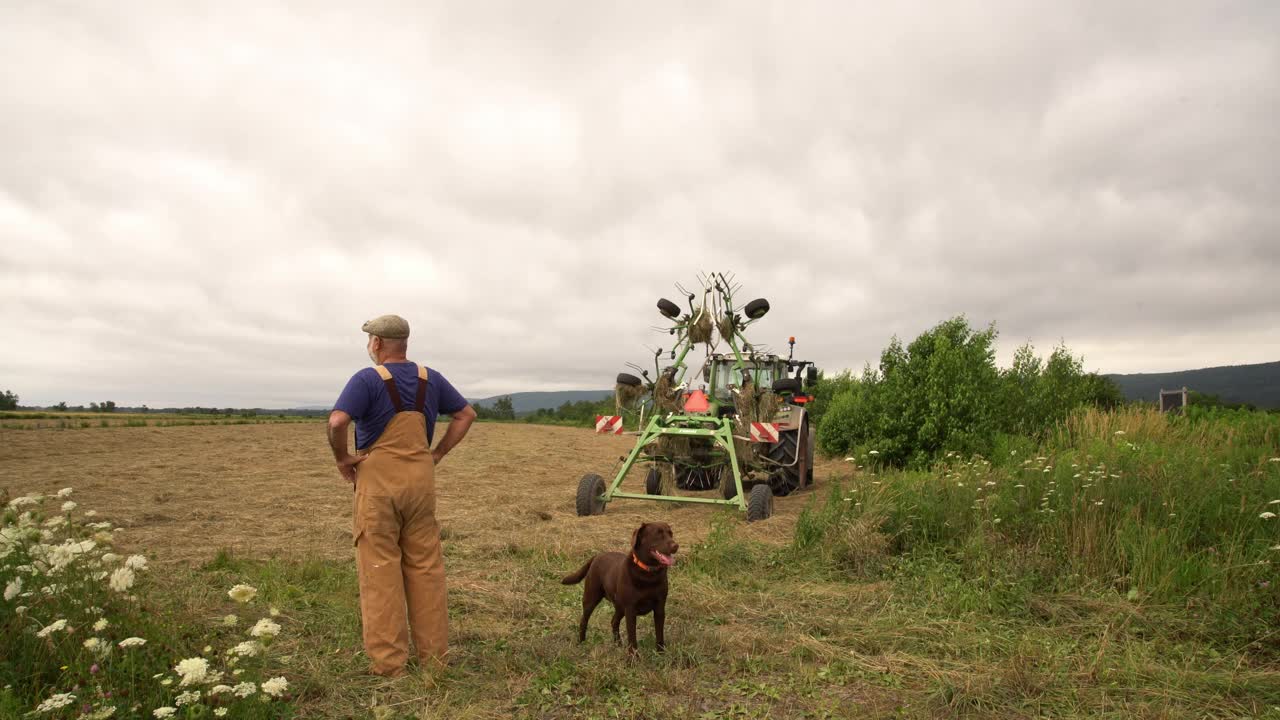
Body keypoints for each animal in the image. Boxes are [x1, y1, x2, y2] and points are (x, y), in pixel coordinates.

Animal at [560, 520, 680, 650]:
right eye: (658, 534)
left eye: (671, 534)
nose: (676, 546)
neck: (648, 574)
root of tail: (597, 556)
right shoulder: (630, 610)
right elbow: (632, 638)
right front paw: (633, 655)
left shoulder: (659, 608)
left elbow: (659, 636)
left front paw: (660, 653)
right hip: (591, 599)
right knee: (584, 620)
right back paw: (581, 642)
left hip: (620, 606)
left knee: (614, 621)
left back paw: (617, 644)